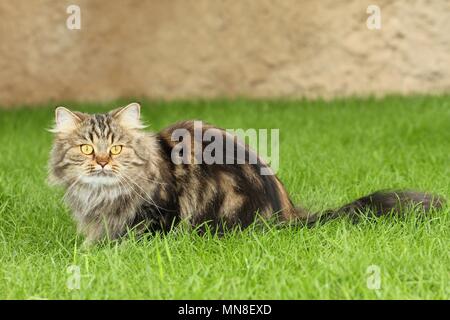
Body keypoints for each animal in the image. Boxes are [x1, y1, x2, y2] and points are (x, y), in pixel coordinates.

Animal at [48, 102, 442, 245]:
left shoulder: (159, 213)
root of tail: (287, 214)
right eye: (87, 149)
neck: (101, 195)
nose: (102, 163)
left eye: (116, 148)